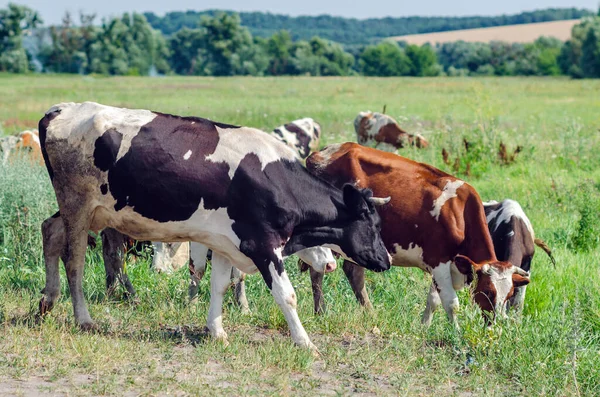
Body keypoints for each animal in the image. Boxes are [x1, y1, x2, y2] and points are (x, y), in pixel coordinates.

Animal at [38, 102, 394, 350]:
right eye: (373, 224)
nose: (386, 260)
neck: (277, 181)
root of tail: (60, 109)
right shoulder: (263, 245)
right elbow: (286, 295)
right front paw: (305, 343)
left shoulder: (225, 242)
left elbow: (219, 285)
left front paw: (217, 331)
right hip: (78, 206)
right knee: (75, 260)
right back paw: (83, 318)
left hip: (88, 210)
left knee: (50, 232)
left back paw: (47, 300)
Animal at [304, 144, 528, 324]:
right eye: (488, 291)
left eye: (509, 295)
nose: (495, 324)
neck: (461, 214)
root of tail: (322, 152)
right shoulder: (439, 260)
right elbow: (451, 303)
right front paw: (456, 333)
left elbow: (433, 300)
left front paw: (424, 326)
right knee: (318, 271)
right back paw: (320, 312)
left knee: (354, 273)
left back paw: (370, 313)